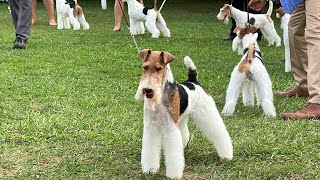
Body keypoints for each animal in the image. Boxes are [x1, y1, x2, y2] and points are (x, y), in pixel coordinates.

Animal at [135, 48, 232, 179]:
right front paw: (150, 170)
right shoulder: (151, 127)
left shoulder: (170, 127)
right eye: (145, 67)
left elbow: (173, 153)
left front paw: (173, 175)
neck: (161, 96)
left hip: (208, 114)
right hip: (182, 118)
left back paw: (226, 155)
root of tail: (193, 81)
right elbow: (150, 150)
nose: (148, 90)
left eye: (159, 68)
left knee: (220, 133)